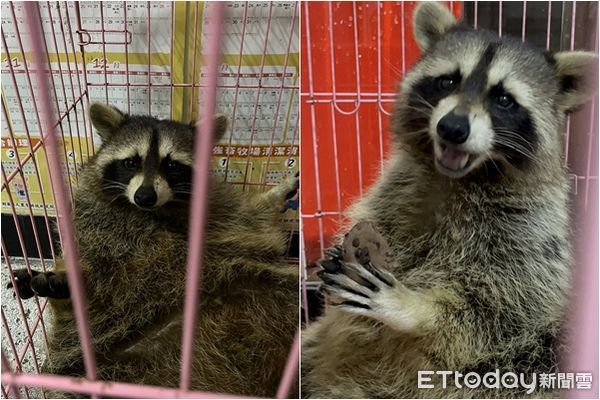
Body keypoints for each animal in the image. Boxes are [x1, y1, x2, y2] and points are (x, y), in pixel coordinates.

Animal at [9, 102, 300, 396]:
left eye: (171, 164)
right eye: (130, 162)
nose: (145, 196)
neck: (153, 212)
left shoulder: (220, 220)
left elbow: (251, 217)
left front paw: (277, 193)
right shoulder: (92, 223)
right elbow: (94, 262)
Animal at [302, 3, 596, 400]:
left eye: (504, 99)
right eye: (449, 81)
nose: (452, 128)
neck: (460, 178)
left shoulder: (535, 233)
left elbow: (506, 309)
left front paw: (415, 310)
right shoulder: (397, 188)